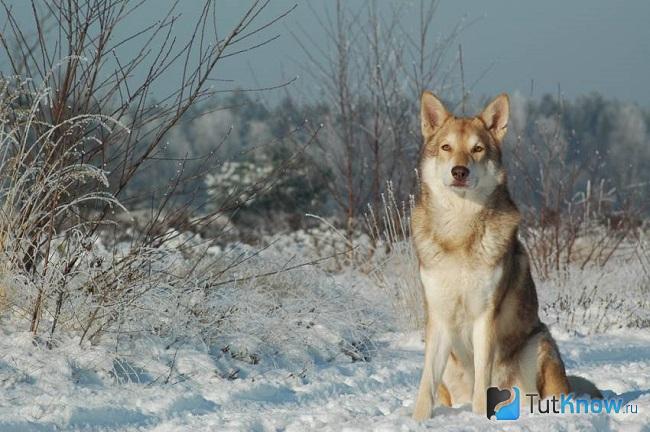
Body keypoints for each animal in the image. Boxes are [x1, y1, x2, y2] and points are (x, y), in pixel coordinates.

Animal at [410, 93, 596, 420]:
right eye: (446, 147)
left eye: (477, 149)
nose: (460, 171)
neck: (460, 231)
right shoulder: (439, 317)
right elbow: (425, 384)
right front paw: (417, 421)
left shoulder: (486, 316)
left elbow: (482, 380)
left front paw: (476, 420)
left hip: (539, 343)